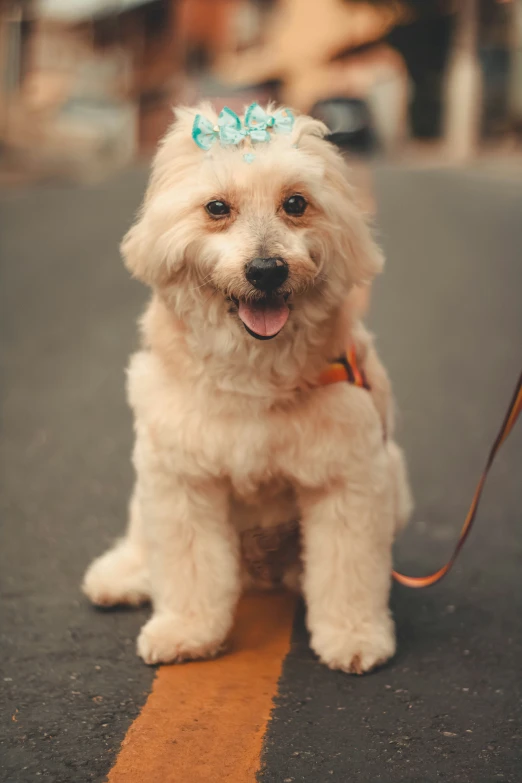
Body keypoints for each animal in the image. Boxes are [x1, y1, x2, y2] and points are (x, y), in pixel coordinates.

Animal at [83, 101, 410, 672]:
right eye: (217, 208)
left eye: (295, 203)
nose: (266, 270)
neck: (254, 373)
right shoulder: (181, 477)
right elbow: (188, 566)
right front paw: (187, 630)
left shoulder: (349, 477)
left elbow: (348, 569)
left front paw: (354, 635)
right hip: (149, 483)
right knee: (144, 541)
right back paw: (122, 576)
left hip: (395, 481)